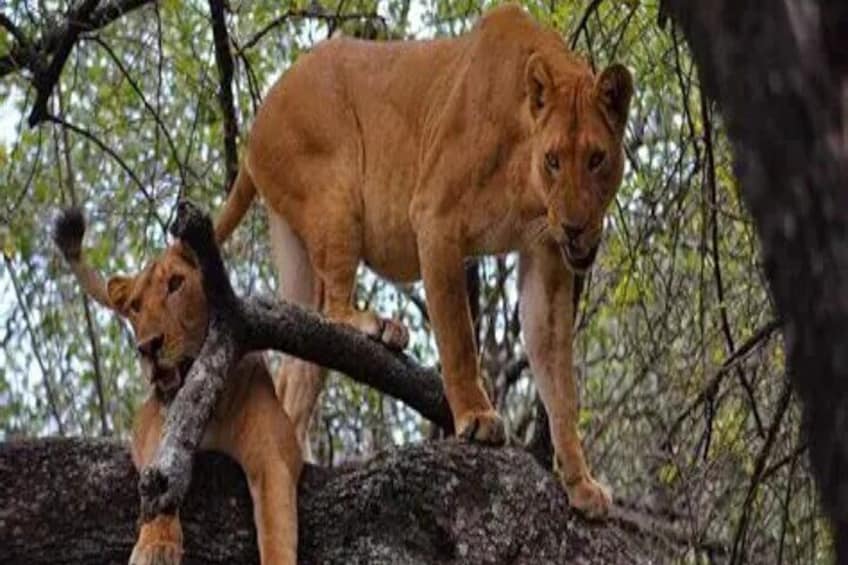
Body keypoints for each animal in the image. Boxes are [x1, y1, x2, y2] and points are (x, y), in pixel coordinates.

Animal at [53, 209, 302, 565]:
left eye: (175, 284)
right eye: (135, 307)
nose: (147, 347)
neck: (211, 405)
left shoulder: (275, 455)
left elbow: (276, 527)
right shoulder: (152, 426)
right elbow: (159, 480)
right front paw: (156, 546)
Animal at [213, 3, 633, 519]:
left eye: (596, 159)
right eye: (553, 161)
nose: (574, 227)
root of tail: (256, 123)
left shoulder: (546, 258)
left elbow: (560, 383)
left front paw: (580, 482)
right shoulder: (435, 219)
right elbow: (458, 337)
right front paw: (476, 417)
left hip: (299, 250)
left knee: (300, 360)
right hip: (336, 189)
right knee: (333, 309)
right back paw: (378, 327)